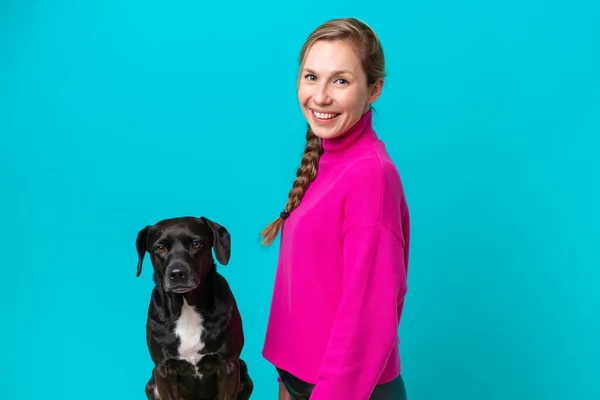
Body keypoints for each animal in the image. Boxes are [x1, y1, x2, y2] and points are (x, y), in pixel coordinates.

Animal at [135, 217, 253, 400]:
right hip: (151, 384)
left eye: (196, 244)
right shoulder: (163, 370)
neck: (186, 307)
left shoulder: (228, 366)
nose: (177, 273)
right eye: (160, 248)